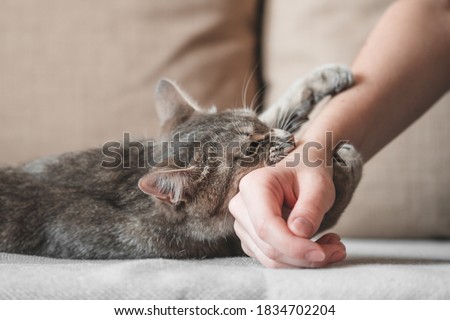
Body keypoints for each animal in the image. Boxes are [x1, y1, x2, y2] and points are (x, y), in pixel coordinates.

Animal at [0, 65, 360, 260]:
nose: (288, 140)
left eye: (257, 123)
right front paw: (347, 163)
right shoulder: (230, 242)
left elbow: (280, 109)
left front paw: (323, 78)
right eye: (249, 150)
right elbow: (333, 205)